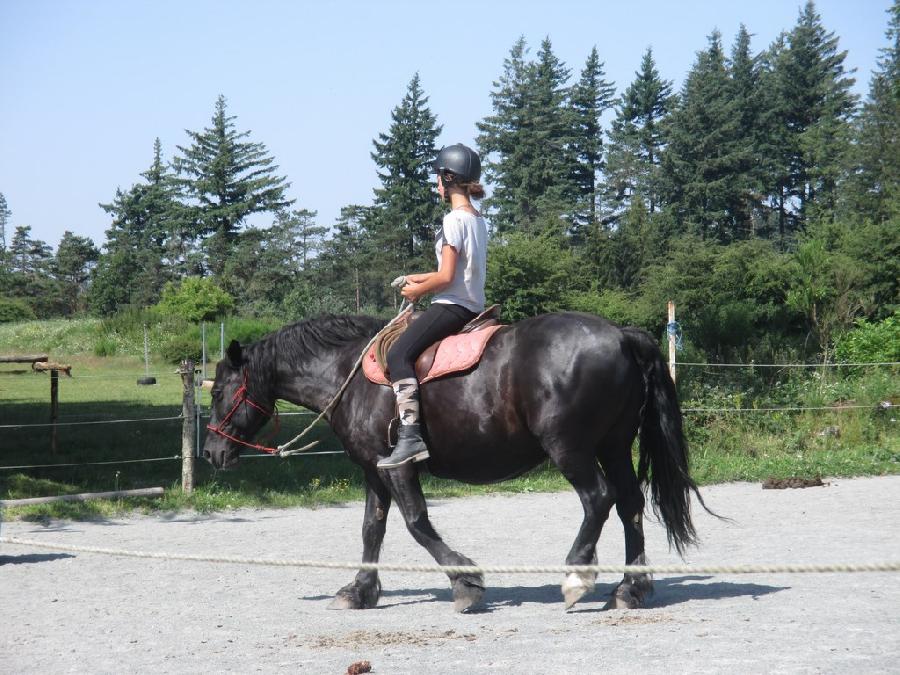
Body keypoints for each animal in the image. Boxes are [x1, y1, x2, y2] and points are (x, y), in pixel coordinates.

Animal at [200, 312, 708, 612]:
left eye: (221, 389)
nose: (210, 453)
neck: (349, 375)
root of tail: (620, 335)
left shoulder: (399, 467)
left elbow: (417, 523)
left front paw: (465, 581)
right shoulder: (373, 470)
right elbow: (372, 529)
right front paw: (359, 590)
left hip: (572, 449)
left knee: (598, 499)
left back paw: (577, 575)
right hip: (613, 445)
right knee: (629, 504)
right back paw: (629, 588)